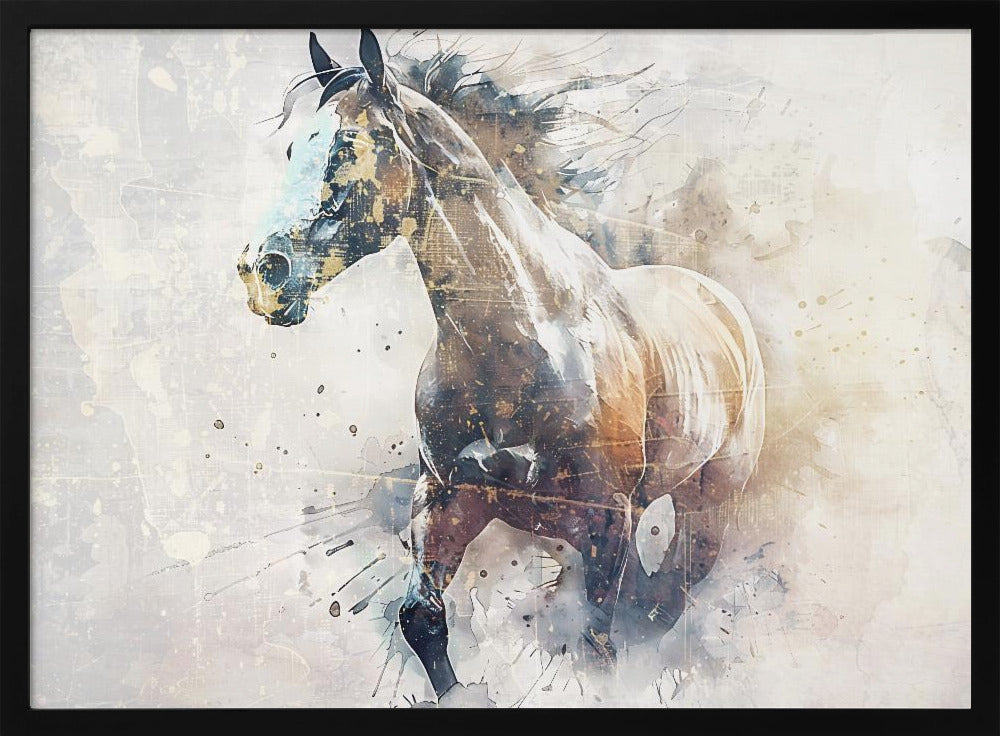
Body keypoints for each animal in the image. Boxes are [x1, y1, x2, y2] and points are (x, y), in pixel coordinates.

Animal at [238, 29, 765, 703]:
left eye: (349, 145)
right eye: (289, 148)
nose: (262, 272)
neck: (518, 352)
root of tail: (720, 303)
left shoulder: (607, 523)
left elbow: (594, 643)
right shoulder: (448, 497)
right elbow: (422, 618)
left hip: (710, 499)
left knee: (675, 588)